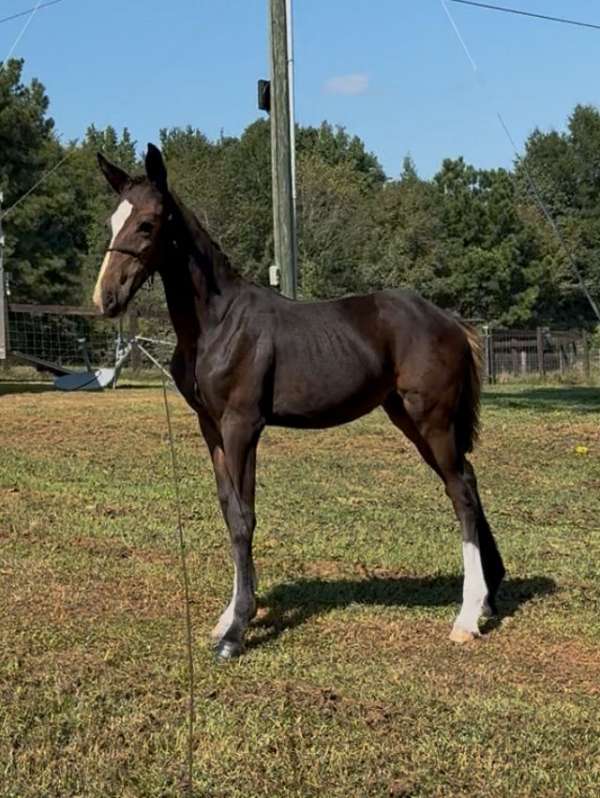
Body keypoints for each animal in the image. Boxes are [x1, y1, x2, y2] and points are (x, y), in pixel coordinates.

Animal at [93, 144, 505, 660]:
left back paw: (467, 617)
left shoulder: (242, 425)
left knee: (461, 493)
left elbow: (243, 518)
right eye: (112, 221)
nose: (105, 298)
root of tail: (451, 323)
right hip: (411, 420)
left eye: (147, 223)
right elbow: (229, 510)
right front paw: (229, 615)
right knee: (467, 480)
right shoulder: (211, 428)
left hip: (432, 419)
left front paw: (236, 632)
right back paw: (489, 597)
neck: (217, 323)